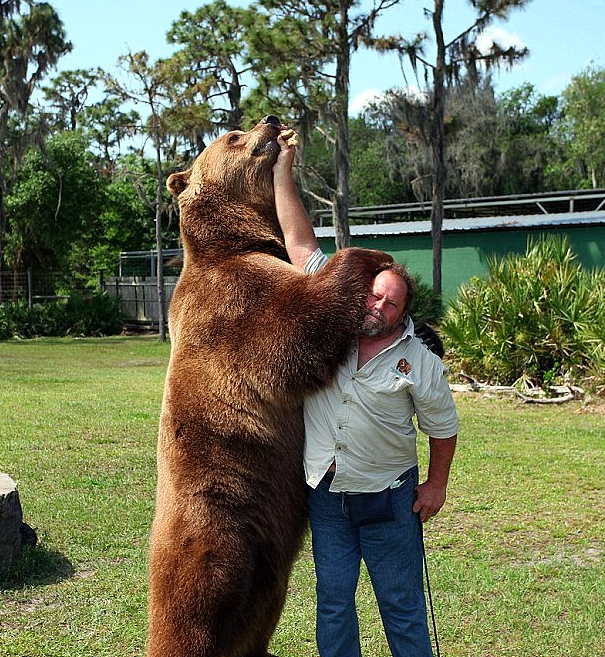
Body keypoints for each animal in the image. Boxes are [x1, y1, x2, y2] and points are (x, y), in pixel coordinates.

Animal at [149, 115, 390, 652]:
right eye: (232, 137)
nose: (272, 120)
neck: (238, 241)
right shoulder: (234, 302)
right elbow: (296, 324)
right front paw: (370, 254)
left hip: (268, 562)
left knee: (258, 612)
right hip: (217, 522)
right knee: (193, 604)